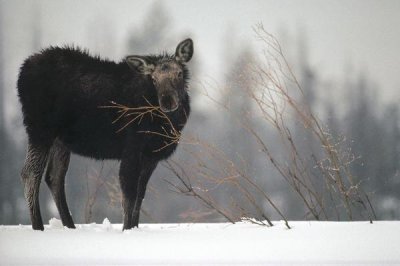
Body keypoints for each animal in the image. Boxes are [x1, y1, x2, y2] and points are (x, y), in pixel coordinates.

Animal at [16, 38, 195, 230]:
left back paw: (70, 226)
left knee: (54, 177)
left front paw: (134, 228)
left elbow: (140, 196)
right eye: (153, 78)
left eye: (179, 73)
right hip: (39, 128)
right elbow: (129, 195)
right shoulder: (131, 149)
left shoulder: (151, 156)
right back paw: (38, 226)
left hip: (60, 140)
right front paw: (127, 229)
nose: (167, 101)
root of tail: (22, 72)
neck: (166, 125)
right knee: (30, 173)